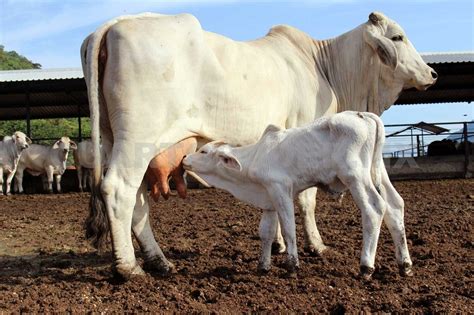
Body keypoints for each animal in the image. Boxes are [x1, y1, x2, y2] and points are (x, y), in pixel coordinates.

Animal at [181, 112, 412, 280]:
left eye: (203, 152)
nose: (184, 158)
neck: (255, 158)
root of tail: (364, 115)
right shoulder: (268, 199)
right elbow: (266, 232)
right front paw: (263, 266)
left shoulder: (281, 189)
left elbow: (288, 227)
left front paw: (292, 265)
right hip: (379, 172)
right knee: (395, 206)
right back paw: (405, 264)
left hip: (355, 176)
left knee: (374, 209)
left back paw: (366, 267)